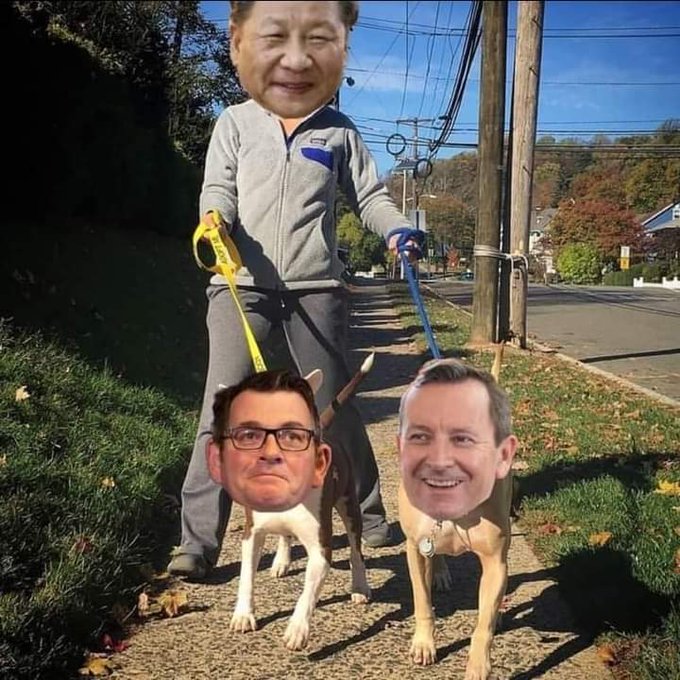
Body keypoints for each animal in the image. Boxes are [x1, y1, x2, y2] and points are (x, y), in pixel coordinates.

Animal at [229, 359, 373, 650]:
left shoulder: (321, 549)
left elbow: (307, 594)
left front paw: (297, 629)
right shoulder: (252, 534)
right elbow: (246, 576)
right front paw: (243, 614)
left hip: (349, 506)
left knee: (355, 550)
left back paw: (360, 587)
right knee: (285, 535)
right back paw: (281, 562)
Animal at [397, 345, 515, 679]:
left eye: (465, 437)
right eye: (421, 435)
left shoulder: (495, 561)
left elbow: (483, 623)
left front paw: (478, 664)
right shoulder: (415, 547)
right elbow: (422, 602)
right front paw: (424, 643)